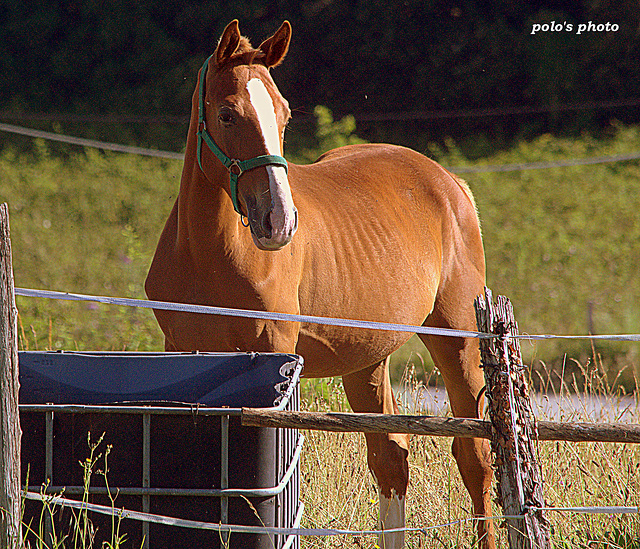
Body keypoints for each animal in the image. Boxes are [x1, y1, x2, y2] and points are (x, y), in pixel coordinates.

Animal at [146, 19, 496, 544]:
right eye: (227, 115)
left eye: (284, 114)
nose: (278, 222)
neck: (208, 255)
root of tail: (449, 183)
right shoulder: (180, 349)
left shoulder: (272, 350)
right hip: (367, 357)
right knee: (391, 455)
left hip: (457, 339)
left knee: (474, 455)